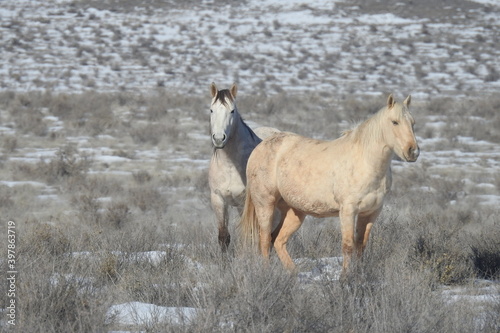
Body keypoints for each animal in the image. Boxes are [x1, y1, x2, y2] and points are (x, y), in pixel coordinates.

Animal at [207, 81, 280, 250]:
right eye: (212, 110)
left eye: (232, 111)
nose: (219, 139)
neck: (230, 166)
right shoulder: (218, 199)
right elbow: (224, 236)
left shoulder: (245, 203)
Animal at [240, 93, 420, 270]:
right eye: (394, 122)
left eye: (413, 122)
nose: (413, 151)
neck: (366, 163)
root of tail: (261, 146)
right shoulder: (348, 211)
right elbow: (348, 246)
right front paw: (345, 277)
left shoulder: (371, 213)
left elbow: (361, 246)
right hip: (265, 205)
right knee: (265, 241)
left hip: (294, 211)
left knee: (277, 240)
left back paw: (293, 273)